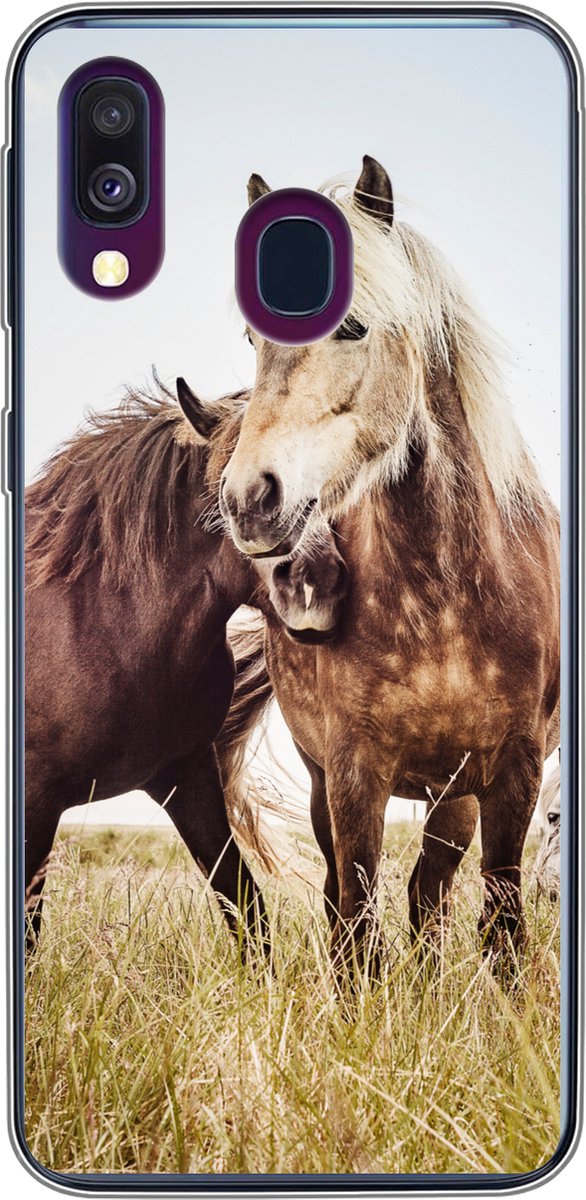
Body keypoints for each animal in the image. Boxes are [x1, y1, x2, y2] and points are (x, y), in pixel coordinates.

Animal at [184, 156, 560, 978]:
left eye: (353, 326)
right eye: (253, 335)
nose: (249, 499)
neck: (445, 602)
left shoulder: (512, 773)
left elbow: (503, 921)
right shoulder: (355, 772)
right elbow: (357, 920)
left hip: (455, 793)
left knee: (430, 890)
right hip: (333, 780)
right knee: (352, 896)